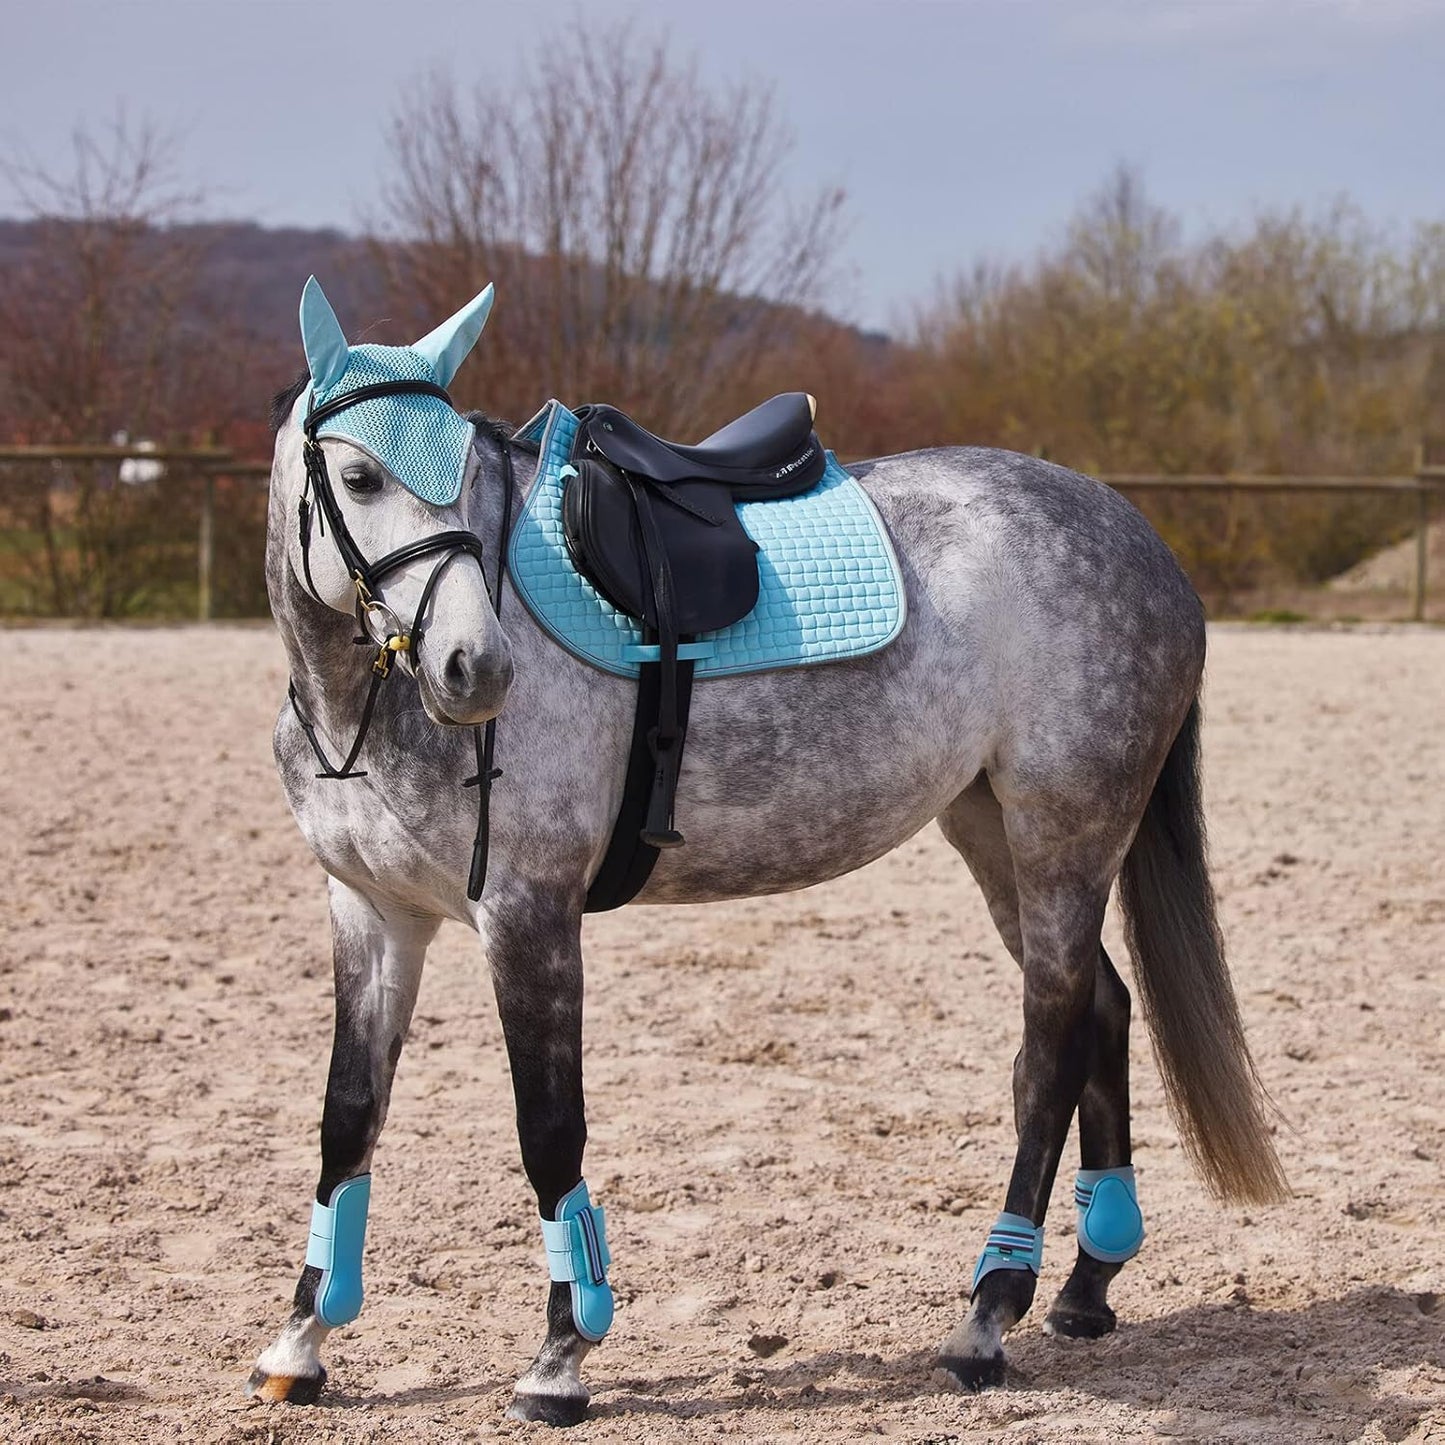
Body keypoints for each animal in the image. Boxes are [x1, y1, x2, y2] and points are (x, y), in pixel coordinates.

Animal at [247, 276, 1287, 1425]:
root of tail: (1136, 536)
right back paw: (1085, 1286)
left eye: (467, 484)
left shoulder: (526, 913)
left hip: (1065, 833)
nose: (476, 667)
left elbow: (547, 1127)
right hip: (993, 833)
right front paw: (300, 1341)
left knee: (1050, 1044)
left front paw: (561, 1355)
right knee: (1101, 1004)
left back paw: (986, 1314)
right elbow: (346, 1119)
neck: (364, 707)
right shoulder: (372, 913)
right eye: (358, 476)